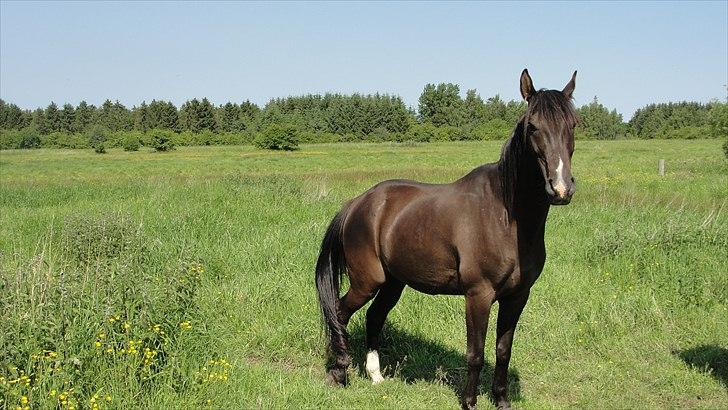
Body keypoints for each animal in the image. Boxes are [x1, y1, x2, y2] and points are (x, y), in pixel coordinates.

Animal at [315, 69, 578, 409]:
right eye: (533, 126)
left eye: (573, 125)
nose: (560, 189)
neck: (505, 216)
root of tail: (357, 203)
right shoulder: (478, 295)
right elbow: (475, 353)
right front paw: (469, 402)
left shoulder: (518, 296)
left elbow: (503, 351)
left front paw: (501, 400)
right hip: (367, 282)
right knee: (339, 314)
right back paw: (338, 372)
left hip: (393, 282)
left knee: (374, 317)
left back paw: (375, 375)